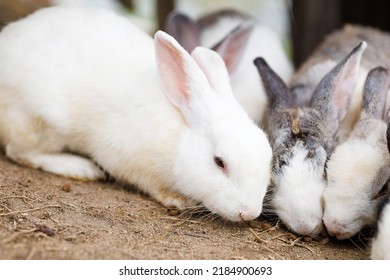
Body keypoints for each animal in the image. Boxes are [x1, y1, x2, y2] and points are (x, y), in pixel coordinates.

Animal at [0, 5, 272, 222]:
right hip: (38, 121)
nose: (249, 212)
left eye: (268, 157)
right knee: (21, 152)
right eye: (219, 162)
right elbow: (151, 184)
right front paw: (178, 200)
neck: (178, 136)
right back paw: (79, 167)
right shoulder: (128, 160)